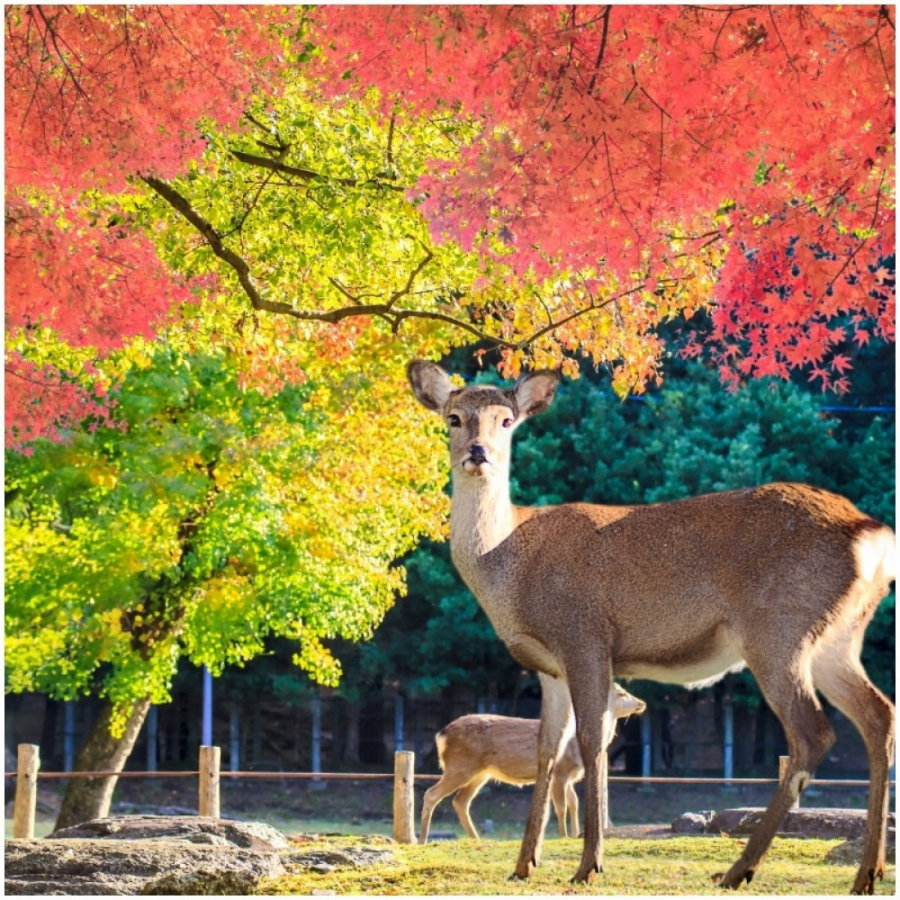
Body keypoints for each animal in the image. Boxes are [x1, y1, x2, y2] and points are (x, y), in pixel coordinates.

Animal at [418, 684, 644, 844]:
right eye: (622, 693)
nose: (642, 703)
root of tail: (441, 735)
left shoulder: (569, 777)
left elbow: (574, 803)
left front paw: (575, 834)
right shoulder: (560, 771)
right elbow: (560, 806)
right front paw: (563, 835)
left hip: (480, 773)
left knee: (460, 801)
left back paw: (477, 839)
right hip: (460, 766)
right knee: (431, 793)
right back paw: (421, 840)